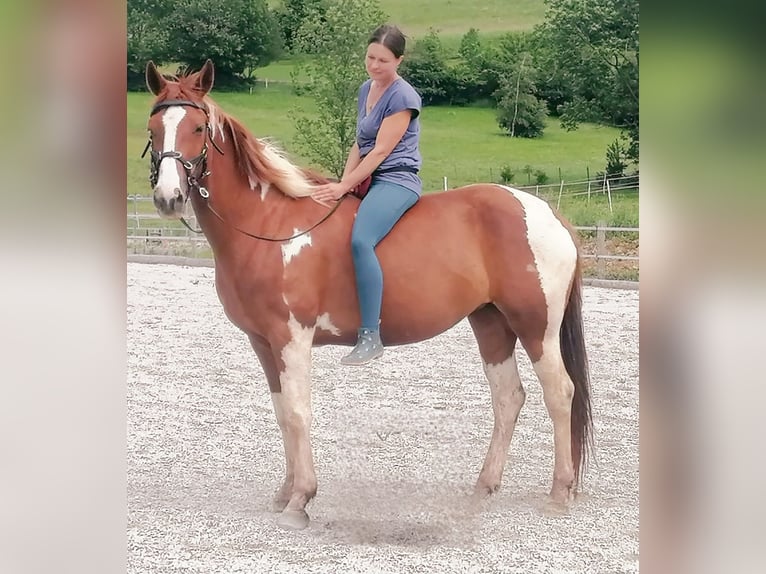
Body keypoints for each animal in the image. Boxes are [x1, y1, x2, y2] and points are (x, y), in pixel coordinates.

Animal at [142, 58, 592, 532]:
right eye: (153, 127)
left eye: (197, 127)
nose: (169, 197)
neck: (270, 225)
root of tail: (546, 211)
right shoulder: (263, 343)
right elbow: (283, 413)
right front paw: (285, 493)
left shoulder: (292, 338)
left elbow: (299, 412)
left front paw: (301, 500)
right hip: (491, 323)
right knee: (508, 397)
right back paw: (484, 487)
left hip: (536, 326)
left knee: (560, 393)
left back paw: (559, 493)